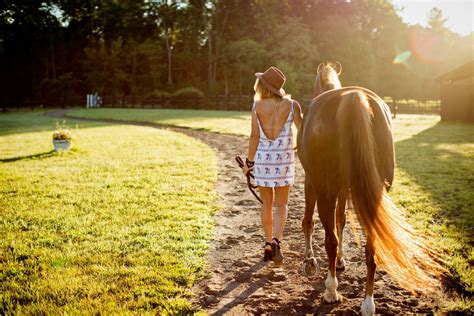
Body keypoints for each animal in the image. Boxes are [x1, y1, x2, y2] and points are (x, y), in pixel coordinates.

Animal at [298, 61, 442, 314]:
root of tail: (354, 98)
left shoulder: (312, 182)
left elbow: (309, 222)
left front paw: (309, 261)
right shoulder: (344, 188)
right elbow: (342, 220)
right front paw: (341, 261)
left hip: (326, 190)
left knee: (330, 240)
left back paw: (331, 290)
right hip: (374, 194)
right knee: (369, 246)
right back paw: (368, 302)